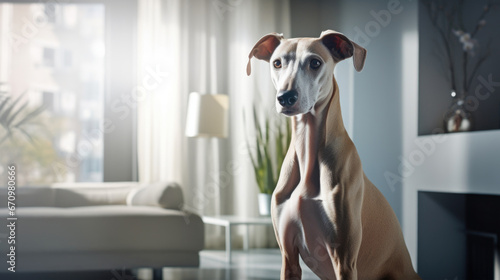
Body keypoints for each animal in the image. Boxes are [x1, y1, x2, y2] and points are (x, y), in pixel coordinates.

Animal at [246, 29, 418, 278]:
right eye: (277, 63)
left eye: (315, 63)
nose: (286, 97)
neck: (308, 152)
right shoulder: (288, 257)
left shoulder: (344, 260)